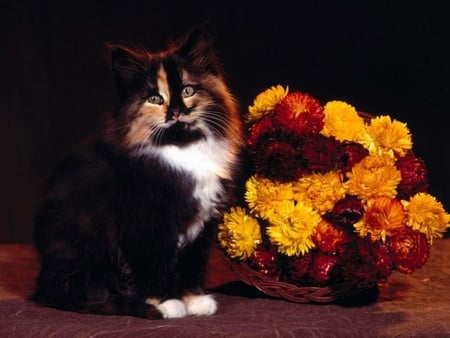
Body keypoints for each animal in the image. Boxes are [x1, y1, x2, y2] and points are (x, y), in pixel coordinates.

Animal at [32, 29, 243, 320]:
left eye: (188, 90)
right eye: (155, 99)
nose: (176, 112)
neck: (181, 148)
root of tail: (44, 283)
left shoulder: (202, 225)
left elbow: (191, 264)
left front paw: (194, 299)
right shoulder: (145, 224)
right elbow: (153, 266)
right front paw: (164, 303)